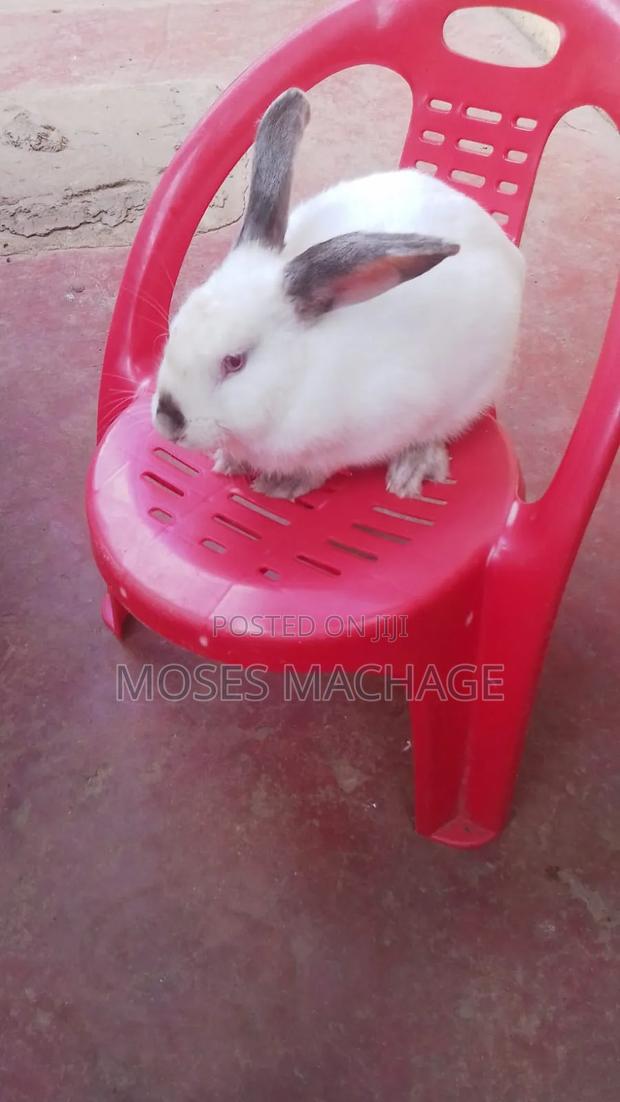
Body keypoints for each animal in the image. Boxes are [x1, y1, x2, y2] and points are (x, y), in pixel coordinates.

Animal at [152, 88, 525, 499]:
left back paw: (410, 470)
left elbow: (323, 465)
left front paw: (282, 484)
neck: (294, 383)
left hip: (470, 393)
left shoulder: (372, 427)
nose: (167, 422)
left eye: (235, 362)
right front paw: (229, 461)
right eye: (176, 327)